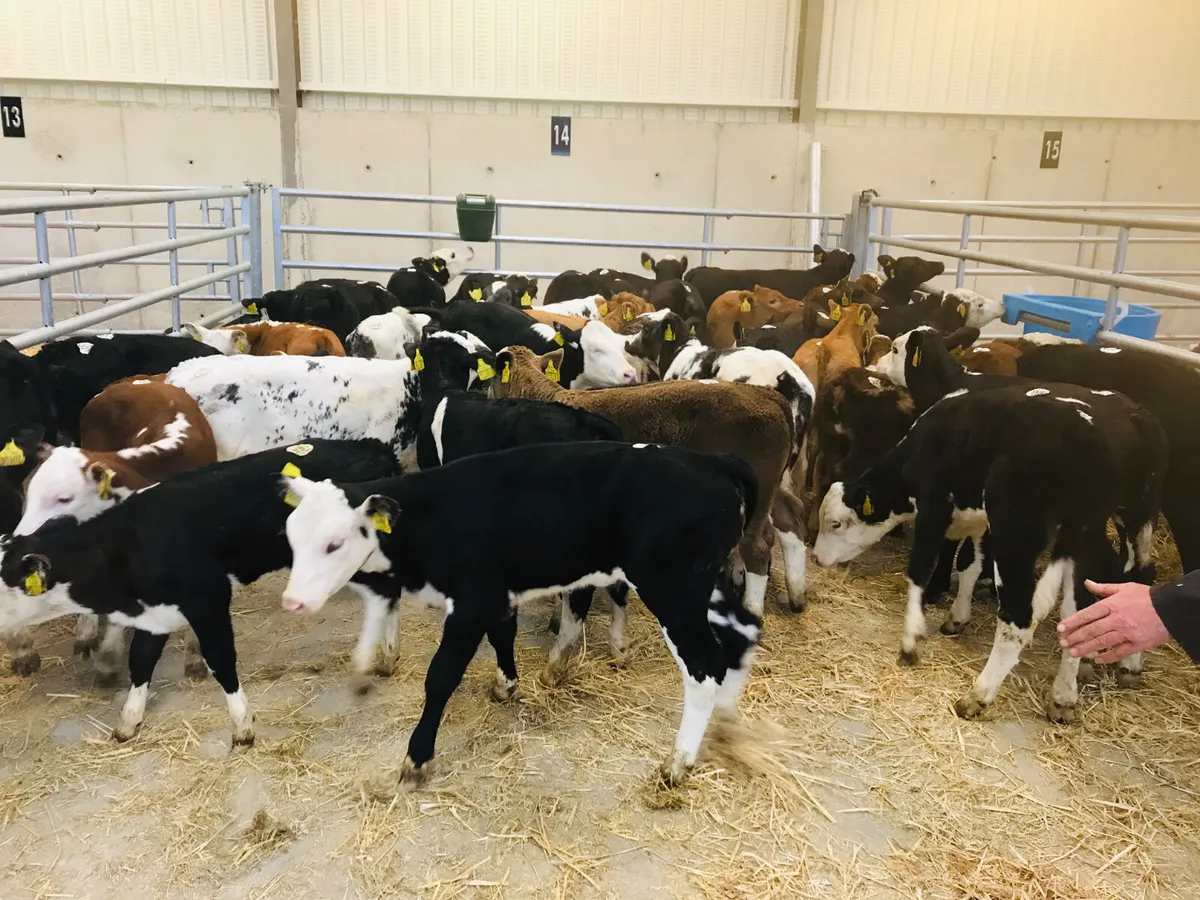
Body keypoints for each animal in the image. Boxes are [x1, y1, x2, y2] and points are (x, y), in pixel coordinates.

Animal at [280, 440, 759, 787]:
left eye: (334, 543)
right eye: (292, 536)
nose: (292, 601)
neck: (435, 518)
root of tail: (712, 460)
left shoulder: (471, 605)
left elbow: (441, 677)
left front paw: (417, 756)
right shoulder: (497, 596)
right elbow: (502, 636)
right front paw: (506, 685)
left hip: (674, 592)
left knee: (706, 666)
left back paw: (678, 763)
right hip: (707, 588)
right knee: (744, 632)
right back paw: (726, 722)